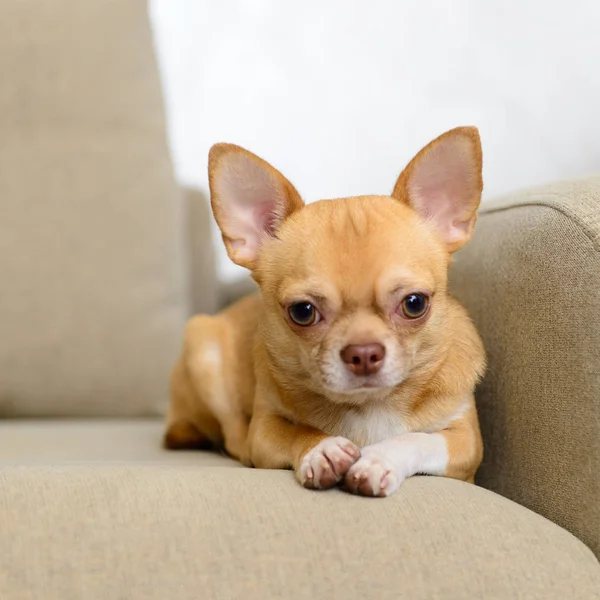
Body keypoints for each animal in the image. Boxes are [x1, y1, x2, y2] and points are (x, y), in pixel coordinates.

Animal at [166, 126, 486, 496]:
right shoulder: (264, 430)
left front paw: (380, 459)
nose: (364, 353)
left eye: (415, 303)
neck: (369, 406)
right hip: (203, 346)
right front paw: (322, 449)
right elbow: (294, 432)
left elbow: (419, 438)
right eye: (303, 312)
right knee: (235, 437)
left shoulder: (466, 443)